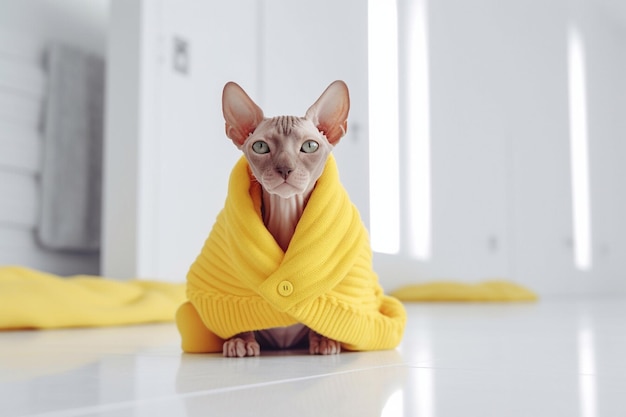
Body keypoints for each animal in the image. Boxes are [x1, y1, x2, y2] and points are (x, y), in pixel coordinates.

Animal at [219, 79, 348, 356]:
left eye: (310, 146)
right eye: (260, 146)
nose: (285, 169)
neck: (285, 214)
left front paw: (324, 339)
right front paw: (240, 341)